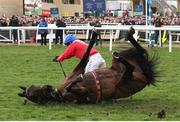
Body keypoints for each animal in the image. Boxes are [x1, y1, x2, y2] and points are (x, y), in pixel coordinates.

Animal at [18, 27, 158, 104]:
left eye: (33, 87)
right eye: (33, 93)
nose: (48, 86)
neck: (58, 95)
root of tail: (145, 77)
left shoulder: (75, 72)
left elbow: (84, 57)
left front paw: (94, 34)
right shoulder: (81, 93)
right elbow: (75, 81)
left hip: (121, 65)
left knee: (139, 52)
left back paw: (128, 36)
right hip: (125, 79)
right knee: (132, 64)